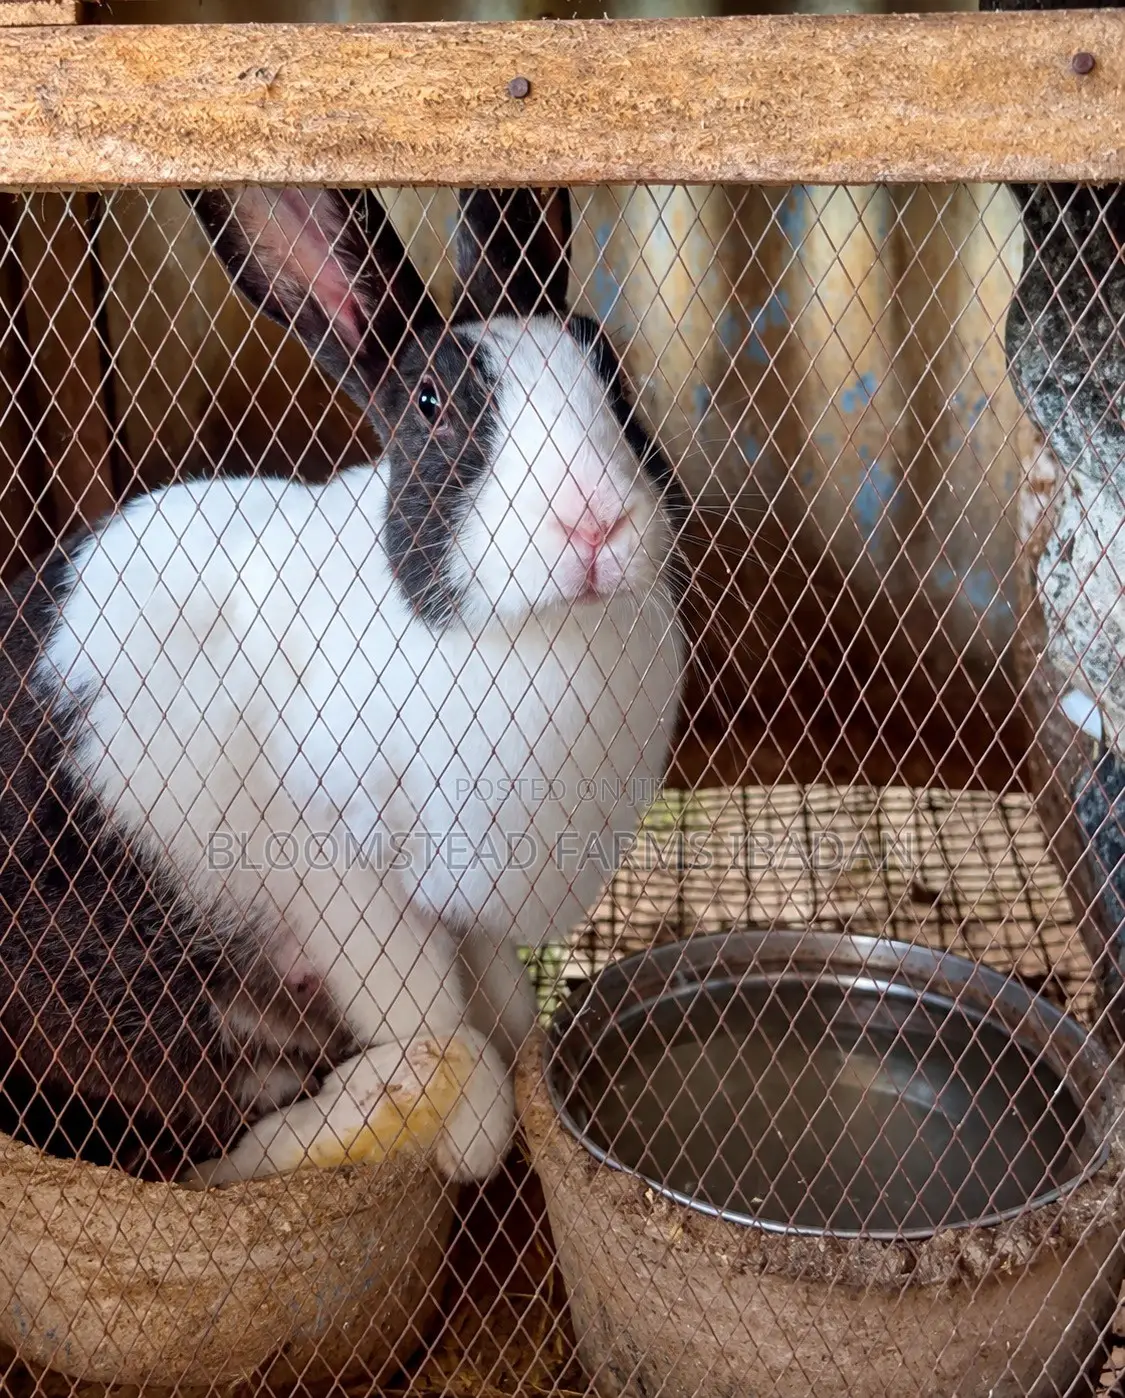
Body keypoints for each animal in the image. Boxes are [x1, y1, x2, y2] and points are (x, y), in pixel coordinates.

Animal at [0, 182, 687, 1188]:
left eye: (607, 365)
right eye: (431, 402)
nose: (596, 521)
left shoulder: (470, 909)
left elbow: (505, 1008)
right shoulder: (346, 890)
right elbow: (436, 1019)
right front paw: (470, 1126)